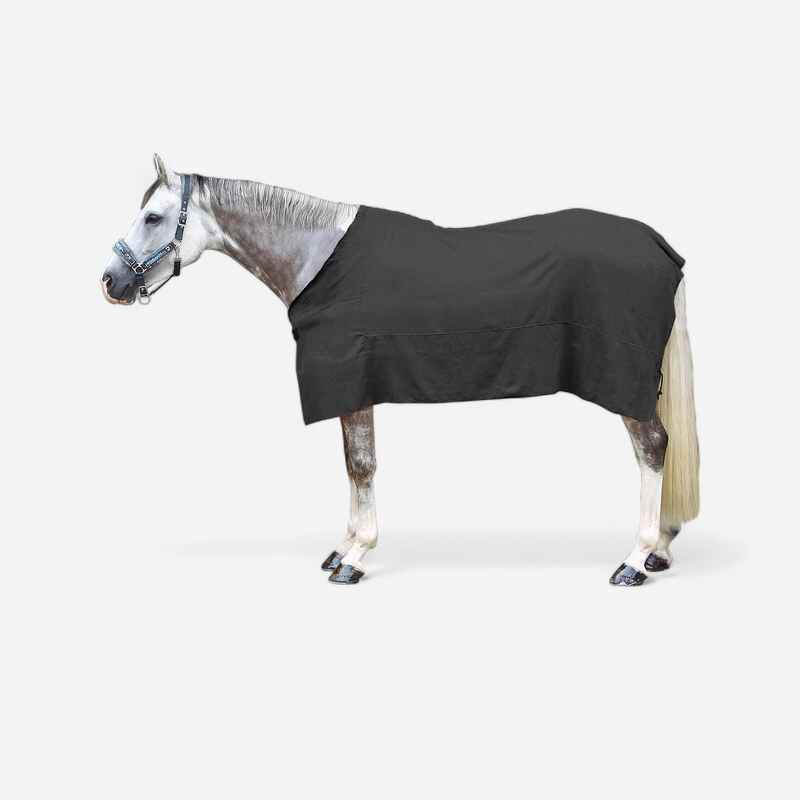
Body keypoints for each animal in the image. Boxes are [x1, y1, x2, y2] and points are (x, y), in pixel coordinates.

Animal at [101, 154, 699, 586]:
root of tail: (659, 245)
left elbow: (362, 466)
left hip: (624, 380)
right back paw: (661, 550)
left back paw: (636, 558)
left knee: (652, 448)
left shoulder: (352, 382)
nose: (111, 281)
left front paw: (356, 557)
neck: (319, 257)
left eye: (152, 217)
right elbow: (352, 466)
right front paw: (343, 547)